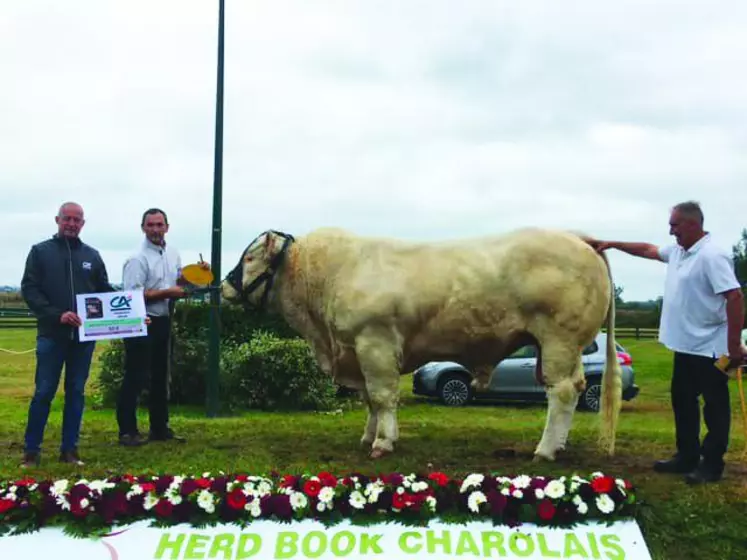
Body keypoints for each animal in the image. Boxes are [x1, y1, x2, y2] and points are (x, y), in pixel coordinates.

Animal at [222, 228, 624, 460]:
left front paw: (384, 443)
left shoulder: (375, 343)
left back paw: (544, 451)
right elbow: (369, 399)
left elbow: (382, 396)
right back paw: (559, 444)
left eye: (249, 257)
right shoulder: (357, 352)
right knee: (575, 387)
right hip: (567, 346)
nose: (224, 286)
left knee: (562, 392)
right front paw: (368, 437)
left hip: (558, 338)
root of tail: (577, 236)